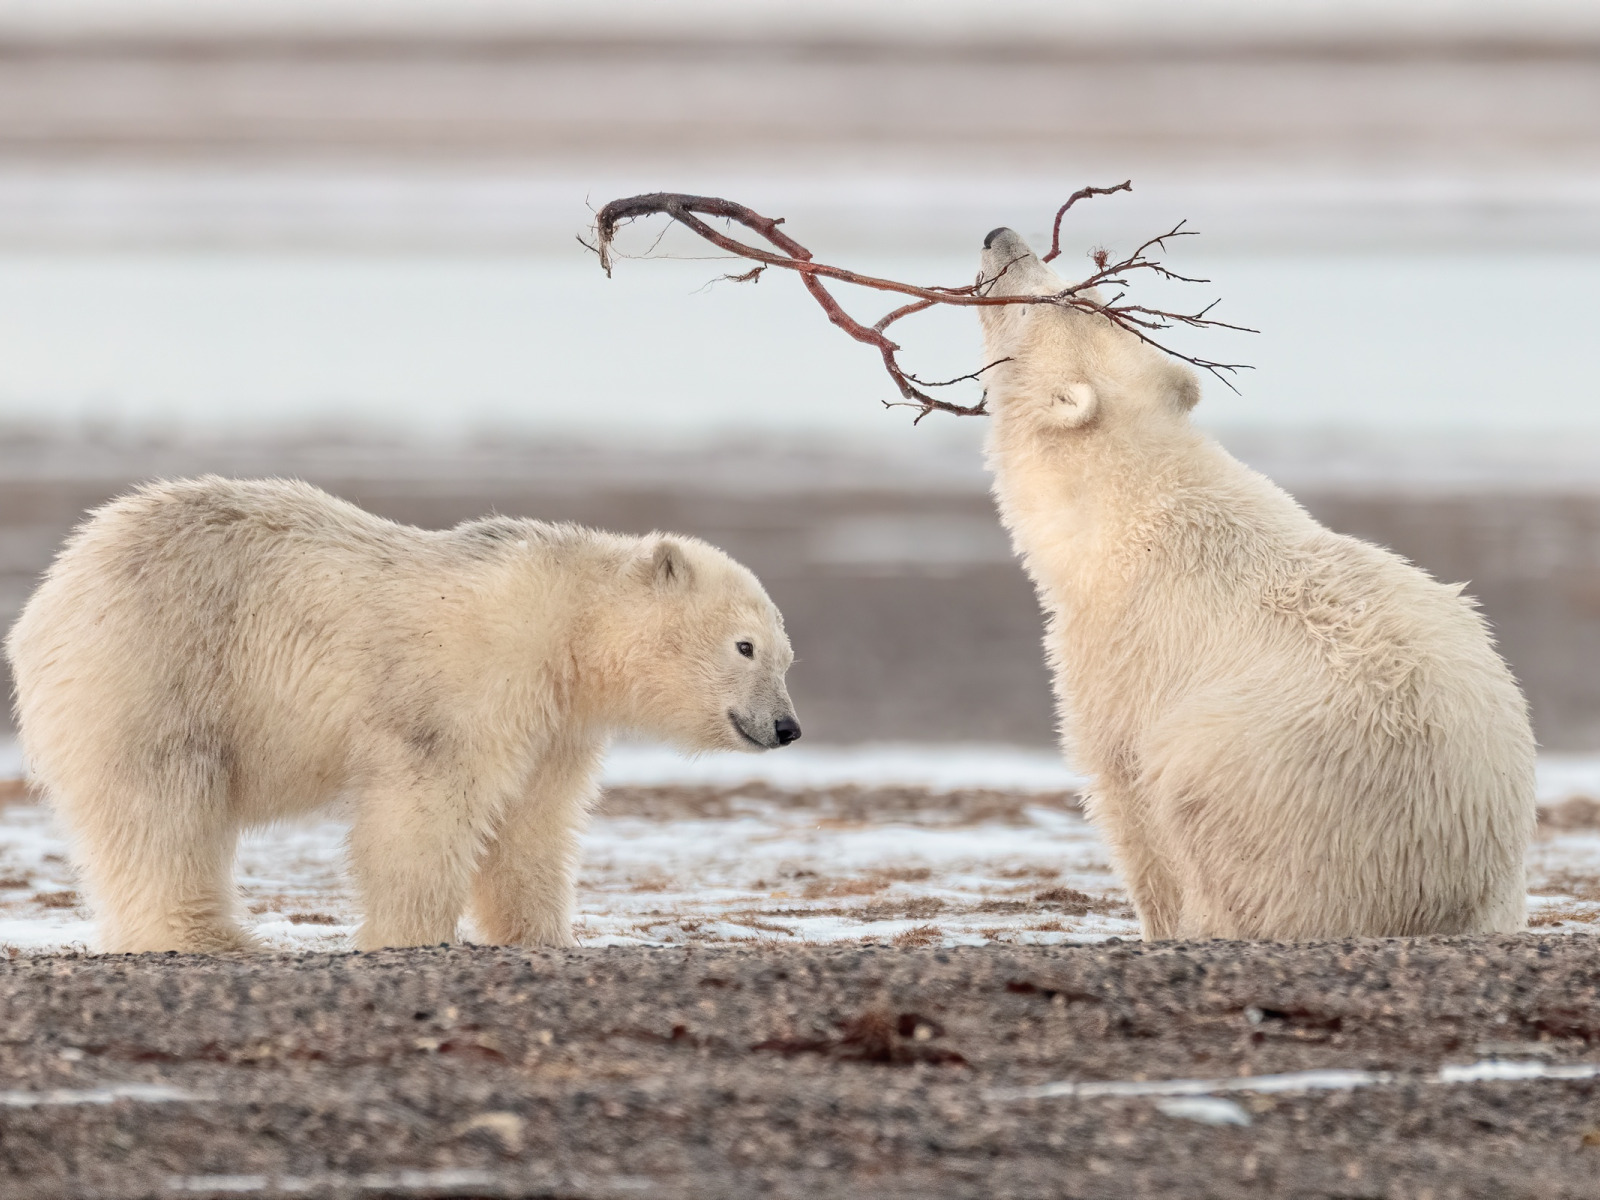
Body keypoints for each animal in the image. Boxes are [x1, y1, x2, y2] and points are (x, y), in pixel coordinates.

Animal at [0, 480, 800, 960]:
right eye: (745, 646)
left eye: (787, 655)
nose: (787, 727)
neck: (567, 623)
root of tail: (50, 598)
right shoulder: (473, 680)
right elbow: (426, 807)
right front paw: (408, 935)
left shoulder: (555, 720)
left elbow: (532, 823)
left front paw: (538, 933)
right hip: (160, 667)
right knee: (164, 808)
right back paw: (209, 936)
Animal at [972, 224, 1536, 940]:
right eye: (1082, 290)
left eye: (1055, 298)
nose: (999, 235)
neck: (1132, 502)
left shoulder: (1121, 654)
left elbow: (1128, 797)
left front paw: (1160, 925)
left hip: (1251, 778)